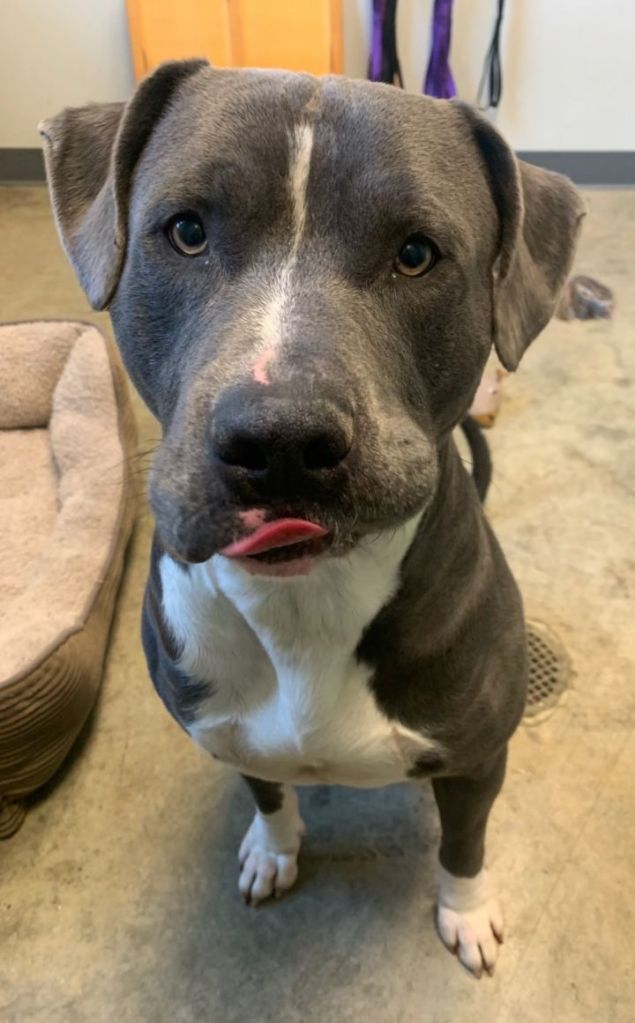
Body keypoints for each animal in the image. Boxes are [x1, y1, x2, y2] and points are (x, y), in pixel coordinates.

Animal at [40, 60, 583, 978]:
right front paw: (273, 847)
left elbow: (464, 843)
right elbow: (265, 789)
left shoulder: (477, 759)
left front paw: (466, 911)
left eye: (416, 254)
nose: (279, 440)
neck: (303, 601)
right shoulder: (224, 732)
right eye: (185, 231)